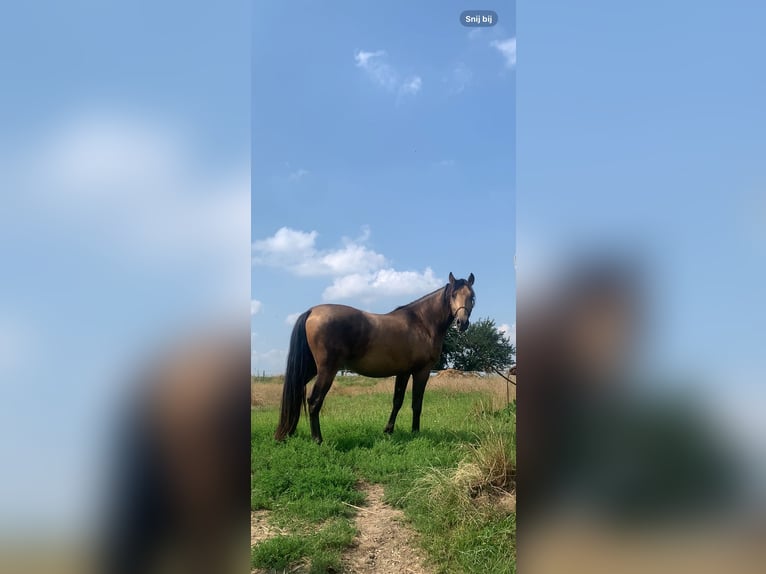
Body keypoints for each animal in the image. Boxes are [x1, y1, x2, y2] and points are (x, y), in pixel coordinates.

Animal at [272, 274, 476, 446]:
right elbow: (416, 403)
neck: (422, 323)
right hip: (326, 370)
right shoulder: (422, 371)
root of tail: (312, 311)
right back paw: (317, 440)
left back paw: (288, 433)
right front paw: (416, 432)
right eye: (453, 295)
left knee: (296, 392)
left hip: (310, 369)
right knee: (314, 401)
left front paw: (388, 431)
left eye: (472, 297)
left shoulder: (403, 372)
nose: (462, 323)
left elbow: (397, 401)